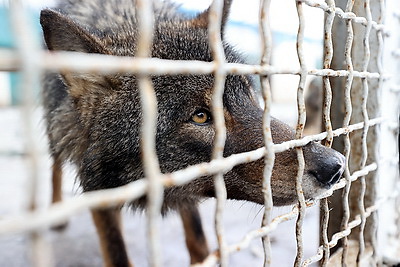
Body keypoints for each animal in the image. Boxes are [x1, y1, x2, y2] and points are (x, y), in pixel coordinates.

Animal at [40, 0, 346, 266]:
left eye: (249, 97)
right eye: (200, 117)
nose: (336, 166)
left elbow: (198, 241)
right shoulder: (99, 190)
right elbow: (117, 255)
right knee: (54, 164)